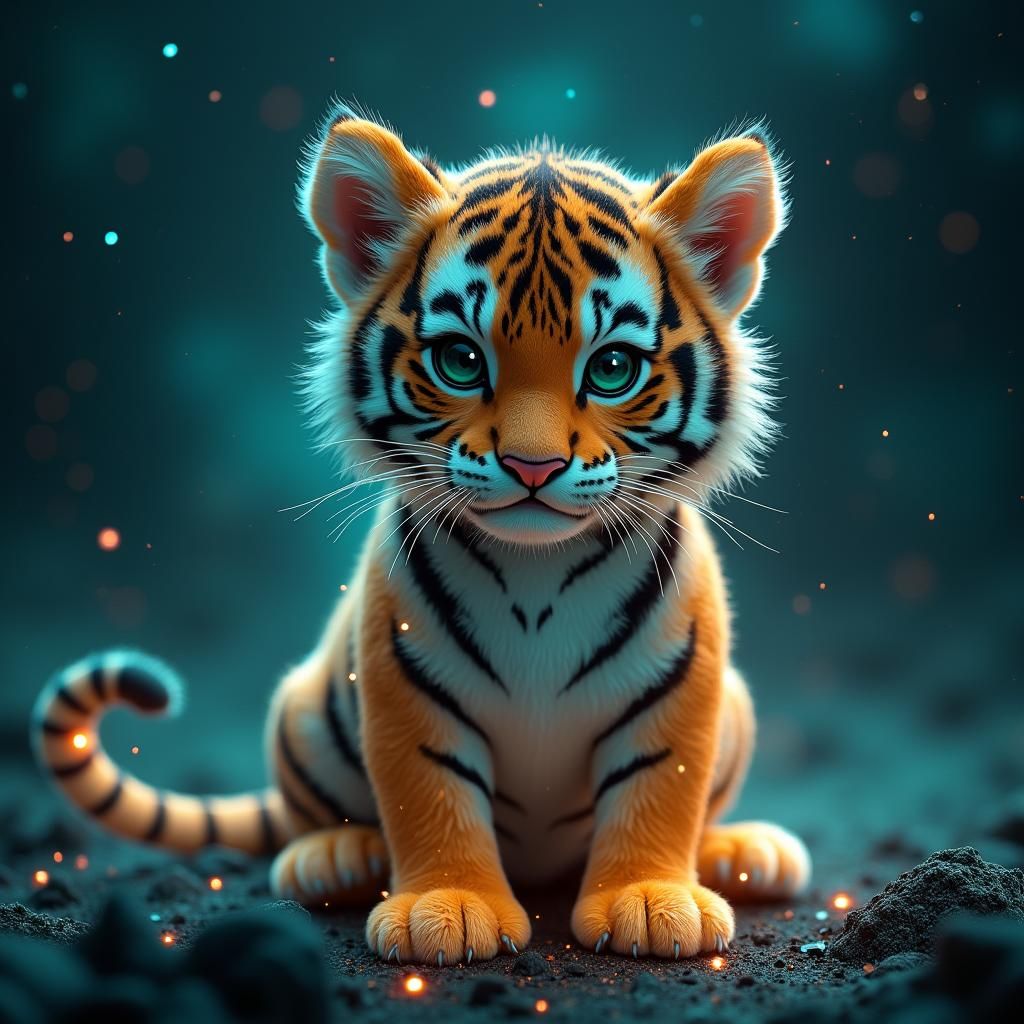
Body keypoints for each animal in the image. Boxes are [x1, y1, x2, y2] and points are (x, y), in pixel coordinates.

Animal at [34, 102, 811, 965]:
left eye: (612, 369)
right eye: (459, 360)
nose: (533, 465)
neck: (539, 572)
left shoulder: (685, 682)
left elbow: (661, 787)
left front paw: (651, 898)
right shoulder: (401, 676)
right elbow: (428, 792)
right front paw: (448, 907)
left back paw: (744, 851)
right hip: (302, 712)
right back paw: (334, 856)